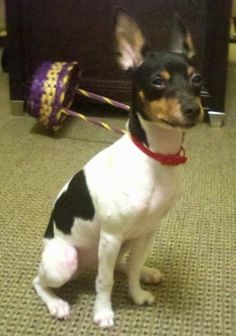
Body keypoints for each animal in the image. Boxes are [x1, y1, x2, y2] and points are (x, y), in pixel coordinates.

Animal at [32, 8, 203, 328]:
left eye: (196, 79)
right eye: (158, 81)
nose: (193, 109)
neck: (155, 157)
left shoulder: (147, 232)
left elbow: (131, 269)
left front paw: (136, 293)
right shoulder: (111, 236)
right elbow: (105, 282)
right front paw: (103, 312)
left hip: (125, 242)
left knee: (121, 265)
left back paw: (147, 271)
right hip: (65, 261)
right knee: (43, 281)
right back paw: (57, 304)